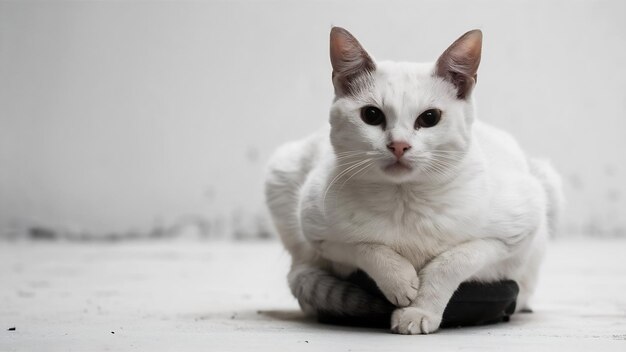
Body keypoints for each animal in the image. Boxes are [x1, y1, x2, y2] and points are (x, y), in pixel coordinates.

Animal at [264, 28, 560, 336]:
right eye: (371, 115)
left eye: (430, 118)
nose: (398, 145)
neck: (405, 199)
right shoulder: (319, 234)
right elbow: (364, 247)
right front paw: (399, 280)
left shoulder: (514, 233)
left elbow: (453, 261)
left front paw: (419, 311)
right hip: (281, 176)